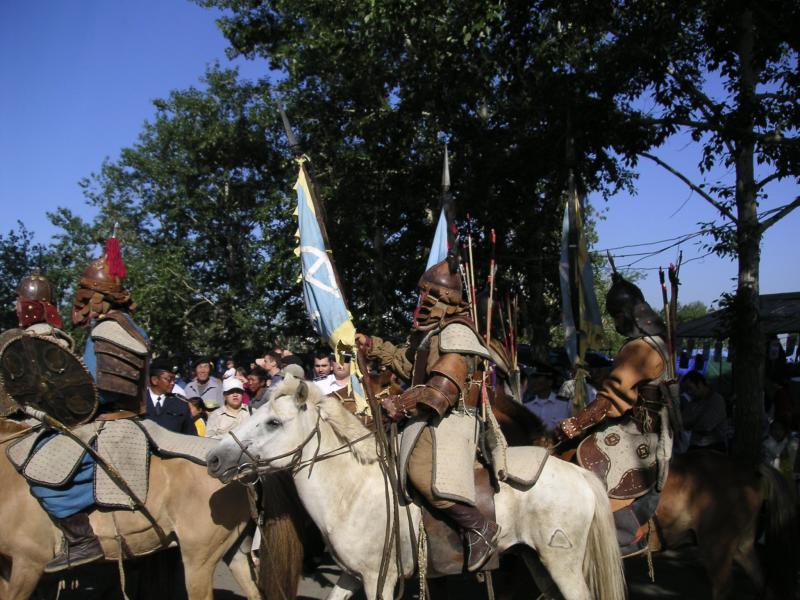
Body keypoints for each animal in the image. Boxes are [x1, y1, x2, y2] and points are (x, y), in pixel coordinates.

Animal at [205, 378, 624, 596]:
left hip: (562, 562)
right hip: (537, 559)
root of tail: (578, 474)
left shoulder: (379, 578)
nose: (214, 459)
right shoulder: (351, 576)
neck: (350, 492)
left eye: (273, 422)